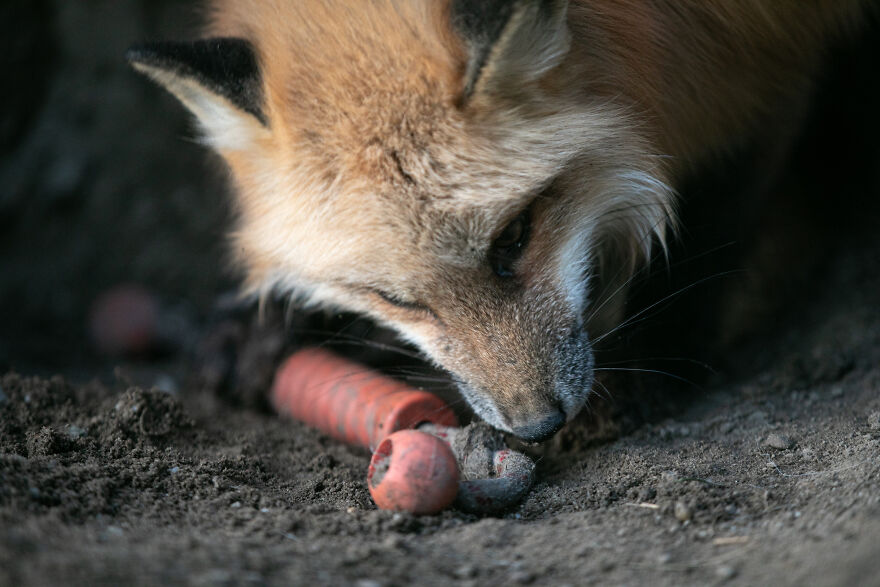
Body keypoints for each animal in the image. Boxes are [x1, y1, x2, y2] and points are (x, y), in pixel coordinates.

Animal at [128, 0, 869, 442]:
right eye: (395, 299)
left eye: (514, 237)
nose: (536, 425)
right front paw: (265, 325)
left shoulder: (764, 65)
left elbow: (709, 221)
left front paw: (652, 360)